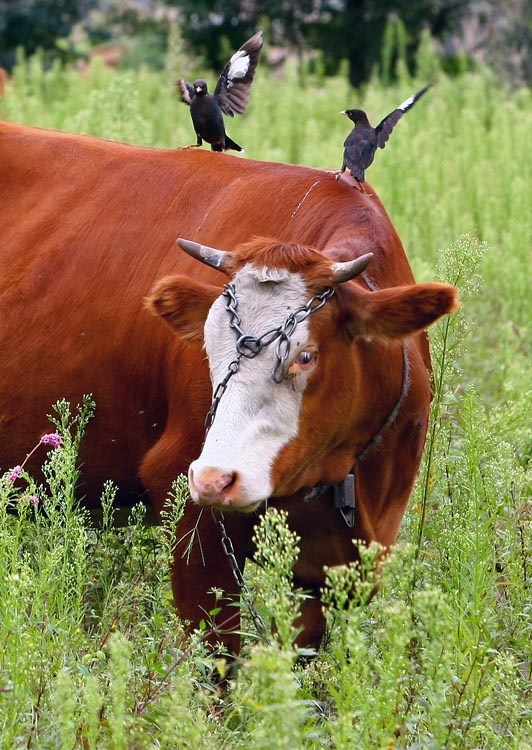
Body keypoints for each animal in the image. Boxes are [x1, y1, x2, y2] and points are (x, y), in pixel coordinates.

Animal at [0, 120, 458, 656]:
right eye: (209, 349)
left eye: (305, 356)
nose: (216, 479)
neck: (336, 473)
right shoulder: (188, 508)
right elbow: (217, 655)